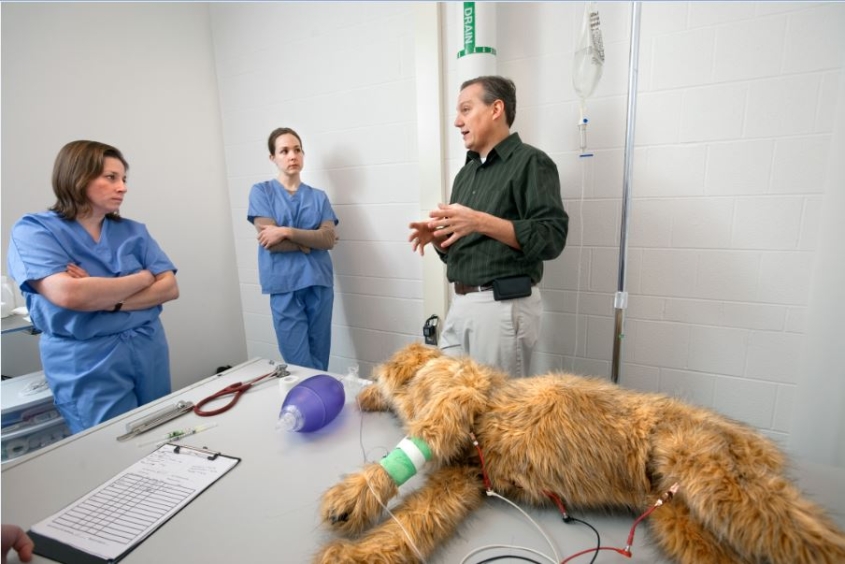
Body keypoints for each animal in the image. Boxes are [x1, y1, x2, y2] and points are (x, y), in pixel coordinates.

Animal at [314, 342, 844, 560]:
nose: (362, 392)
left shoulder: (458, 396)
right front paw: (355, 554)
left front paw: (356, 493)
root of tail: (753, 443)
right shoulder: (465, 478)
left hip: (719, 481)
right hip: (677, 518)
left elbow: (416, 442)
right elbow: (414, 523)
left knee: (809, 536)